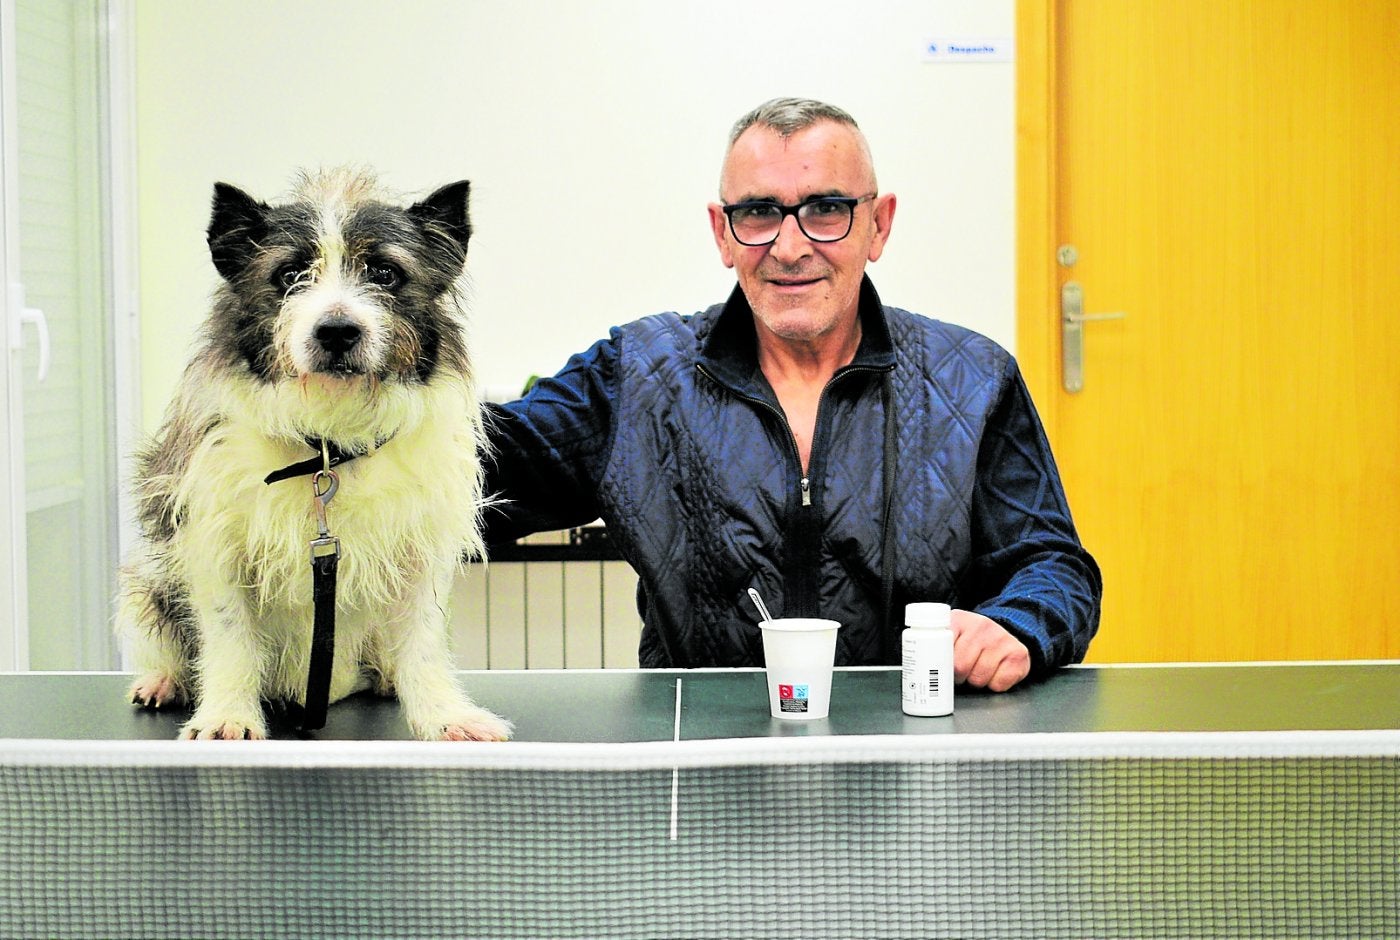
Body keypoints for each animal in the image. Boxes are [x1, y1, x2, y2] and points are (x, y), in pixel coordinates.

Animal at [113, 169, 509, 745]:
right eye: (291, 274)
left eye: (385, 273)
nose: (337, 331)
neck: (327, 444)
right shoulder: (214, 543)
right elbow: (229, 637)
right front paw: (227, 715)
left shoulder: (419, 549)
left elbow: (424, 641)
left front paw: (445, 715)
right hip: (149, 584)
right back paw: (164, 681)